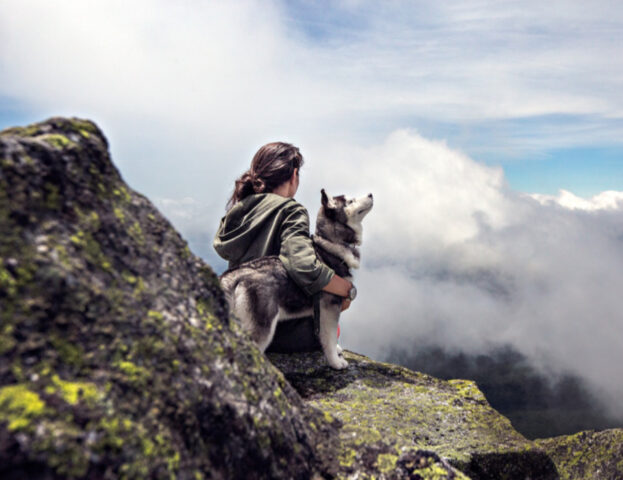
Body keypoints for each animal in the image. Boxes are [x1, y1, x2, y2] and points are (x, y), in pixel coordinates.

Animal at [221, 189, 372, 370]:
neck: (330, 243)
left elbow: (325, 336)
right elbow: (329, 337)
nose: (371, 194)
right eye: (350, 201)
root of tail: (236, 273)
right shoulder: (330, 307)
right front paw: (335, 362)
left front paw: (336, 350)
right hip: (263, 325)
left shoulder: (319, 312)